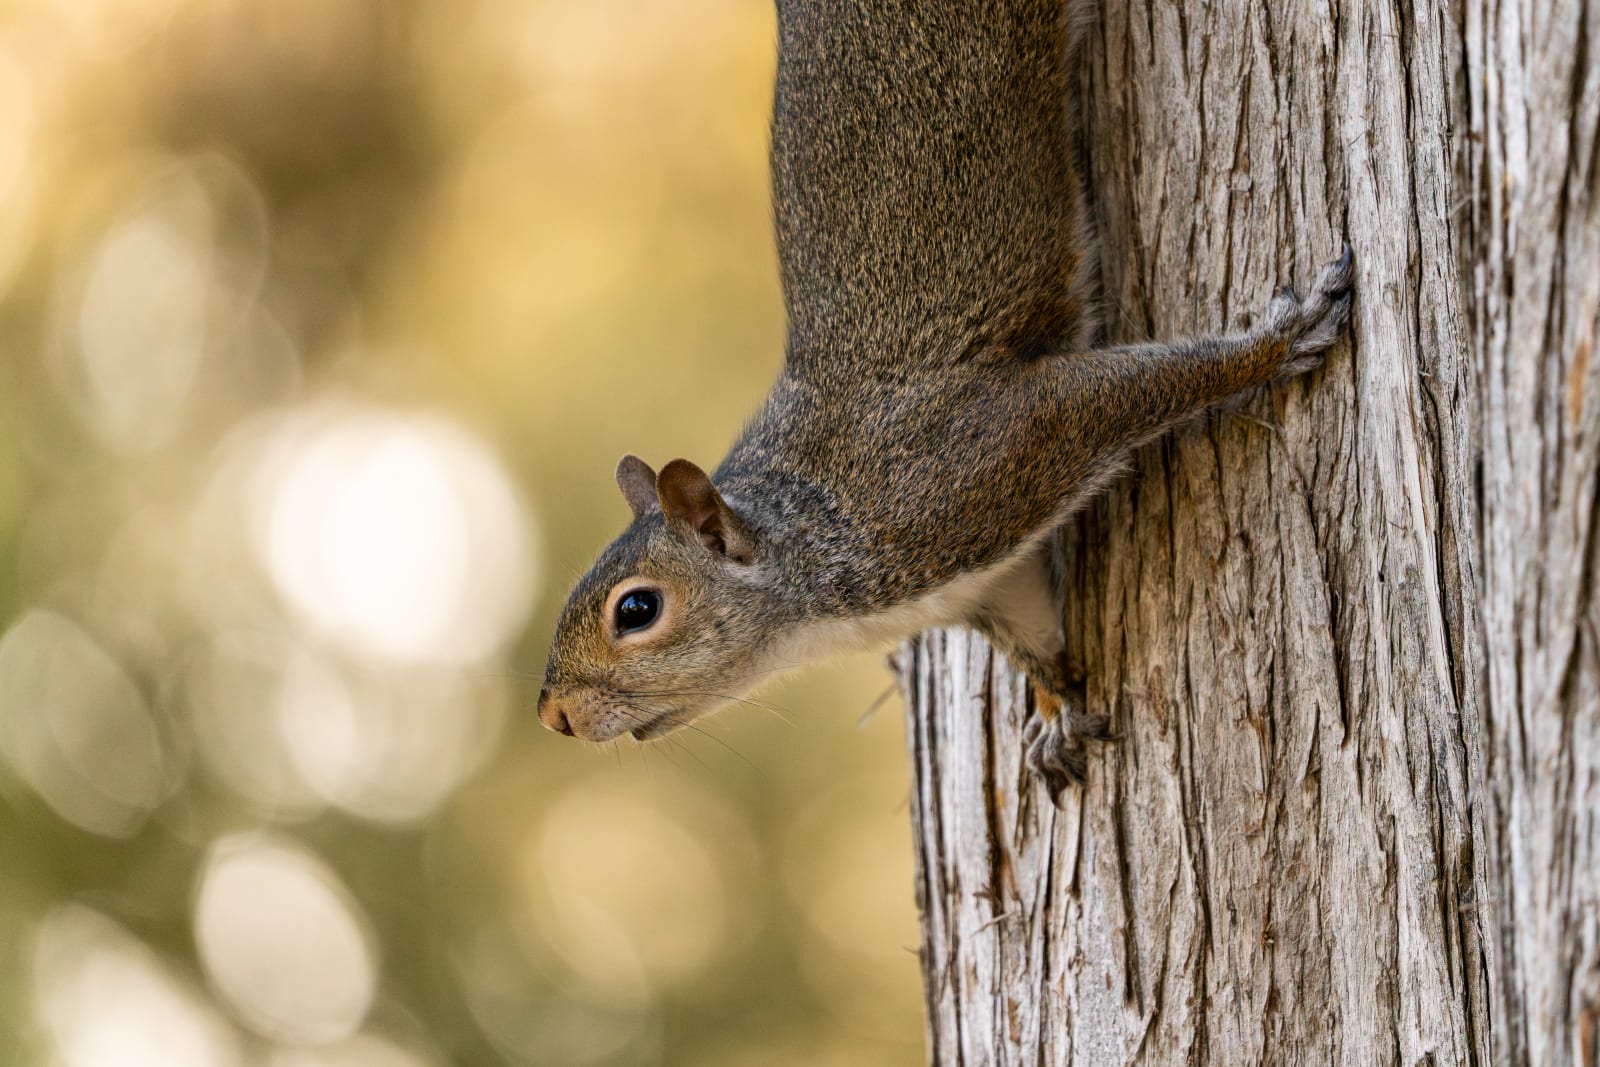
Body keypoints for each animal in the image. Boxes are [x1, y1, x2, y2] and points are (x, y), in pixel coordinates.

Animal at [537, 0, 1354, 802]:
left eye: (636, 609)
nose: (554, 717)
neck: (812, 541)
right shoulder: (984, 582)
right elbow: (1035, 636)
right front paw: (1053, 707)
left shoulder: (975, 463)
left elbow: (1114, 393)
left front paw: (1274, 343)